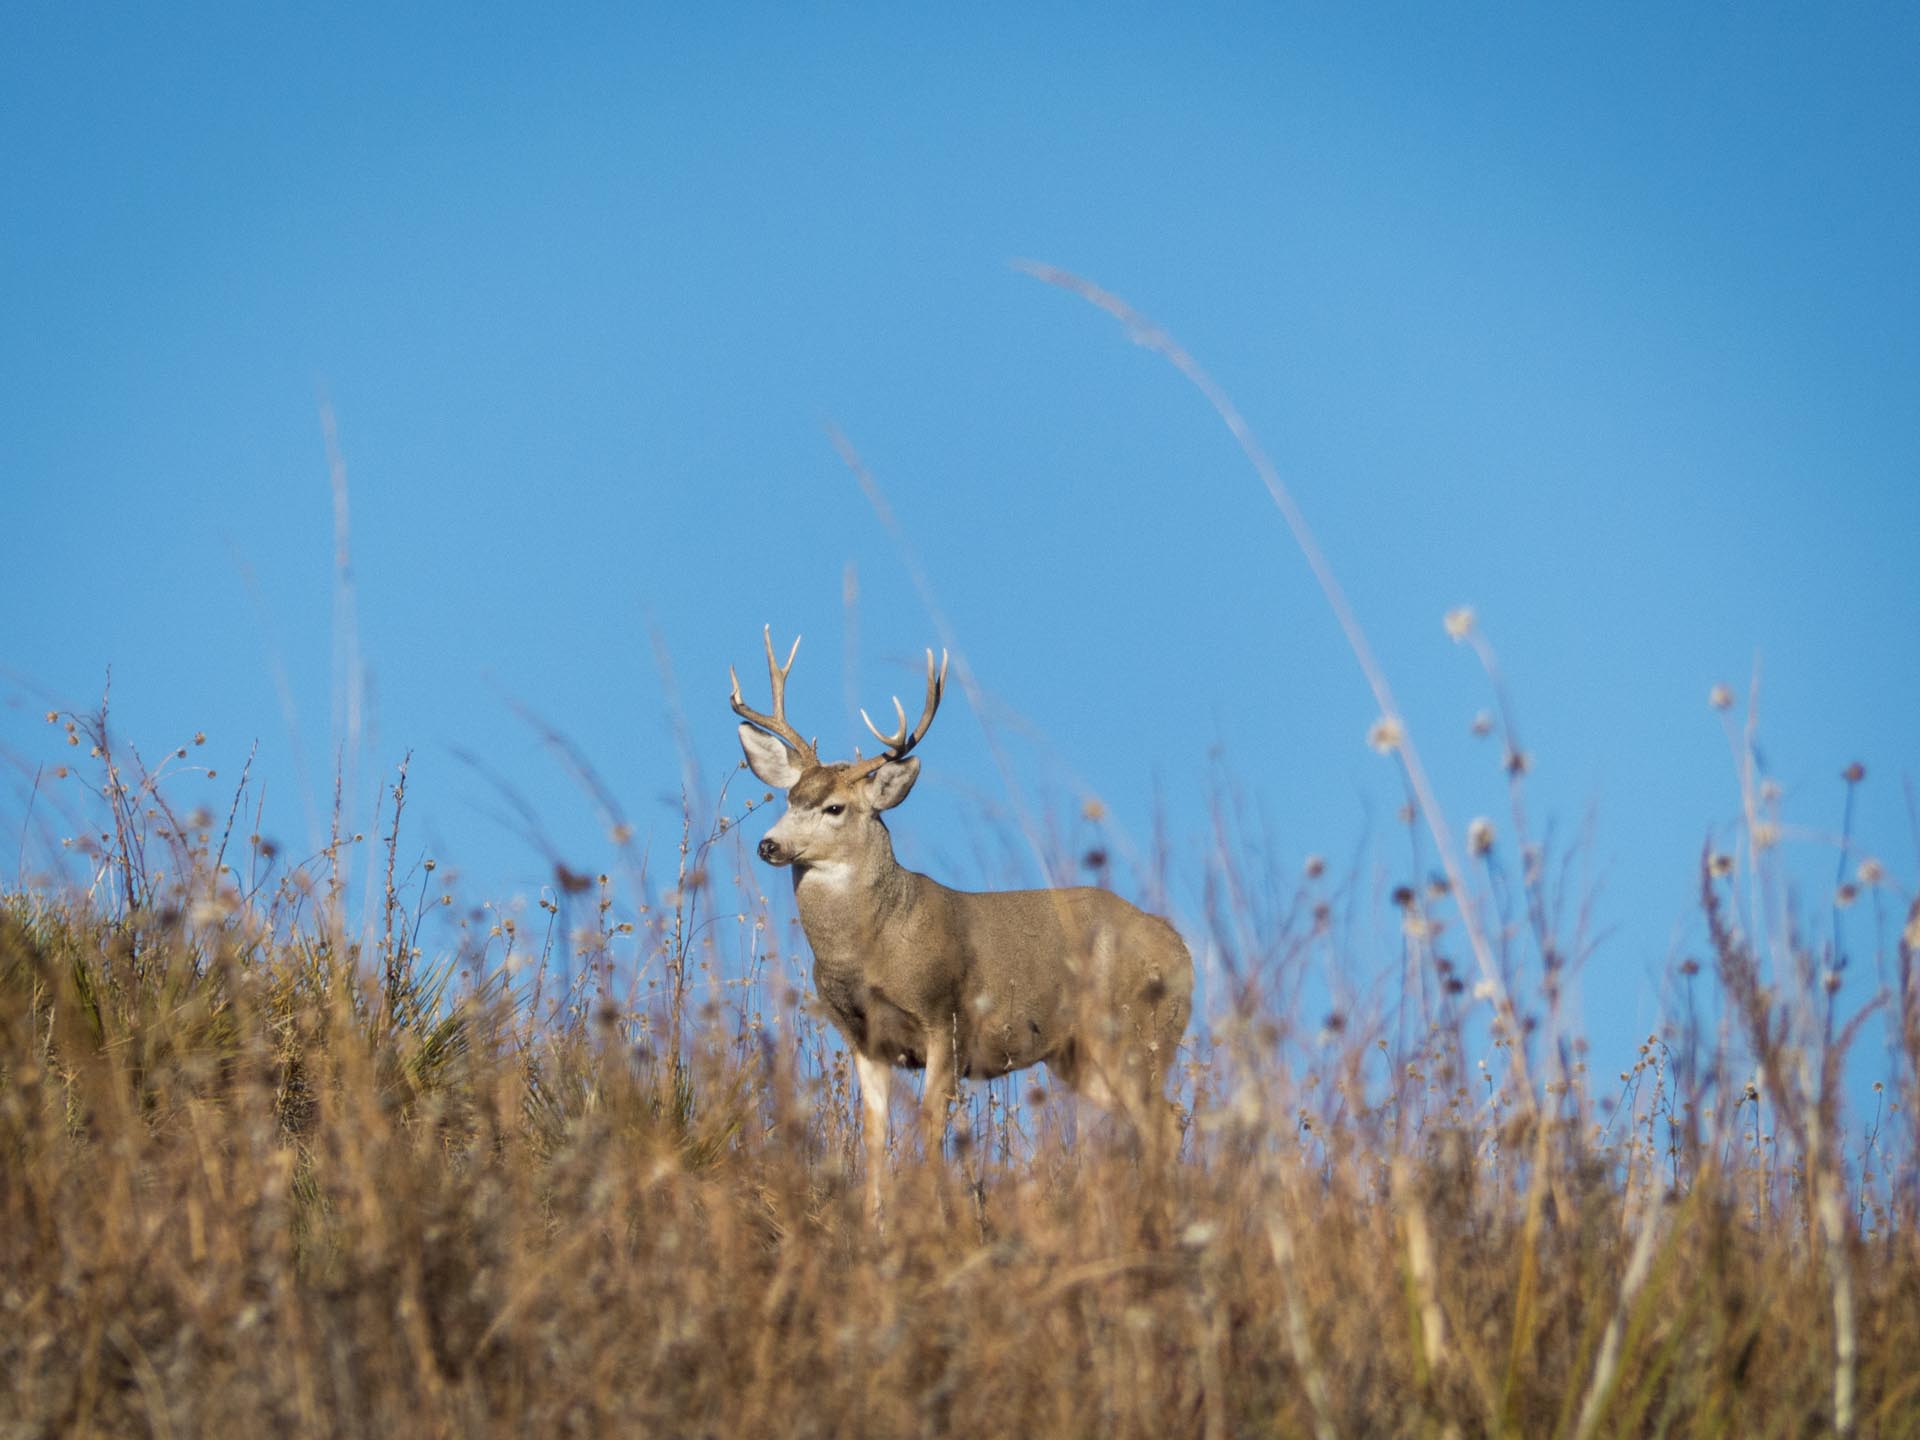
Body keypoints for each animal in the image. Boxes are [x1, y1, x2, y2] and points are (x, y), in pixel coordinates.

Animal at [730, 627, 1193, 1216]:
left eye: (835, 807)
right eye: (791, 798)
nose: (769, 845)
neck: (874, 946)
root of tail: (1181, 949)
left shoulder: (945, 1021)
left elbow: (930, 1126)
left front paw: (929, 1216)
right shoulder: (864, 1038)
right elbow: (875, 1132)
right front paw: (875, 1221)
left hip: (1137, 1033)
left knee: (1164, 1121)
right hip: (1080, 1056)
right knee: (1160, 1119)